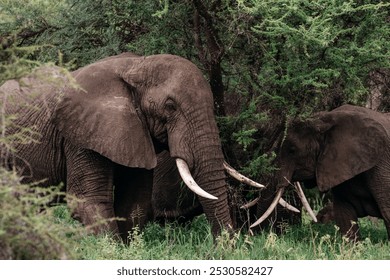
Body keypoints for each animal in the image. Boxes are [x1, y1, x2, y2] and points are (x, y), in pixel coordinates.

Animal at [0, 53, 235, 241]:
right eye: (170, 106)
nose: (223, 249)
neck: (136, 65)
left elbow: (135, 203)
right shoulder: (81, 134)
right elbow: (90, 201)